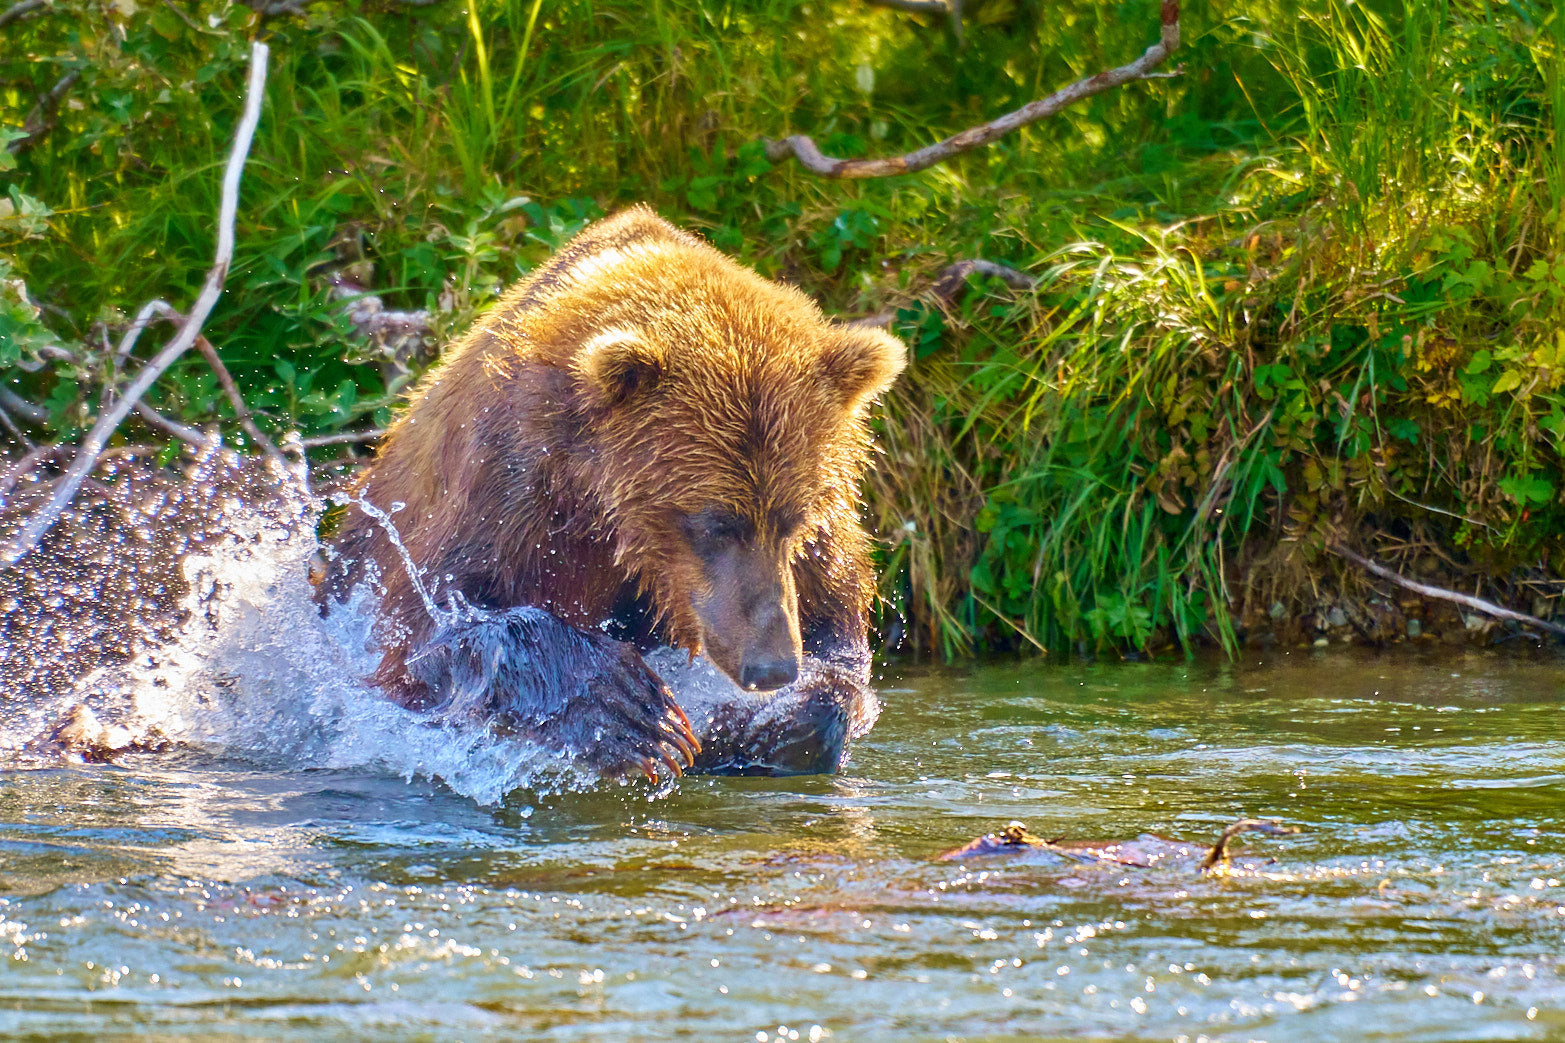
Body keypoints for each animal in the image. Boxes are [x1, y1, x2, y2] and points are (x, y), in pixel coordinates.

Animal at [321, 206, 906, 782]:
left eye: (792, 519)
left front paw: (758, 725)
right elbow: (422, 634)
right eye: (713, 523)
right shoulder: (503, 489)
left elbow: (836, 640)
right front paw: (632, 711)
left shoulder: (818, 538)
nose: (771, 666)